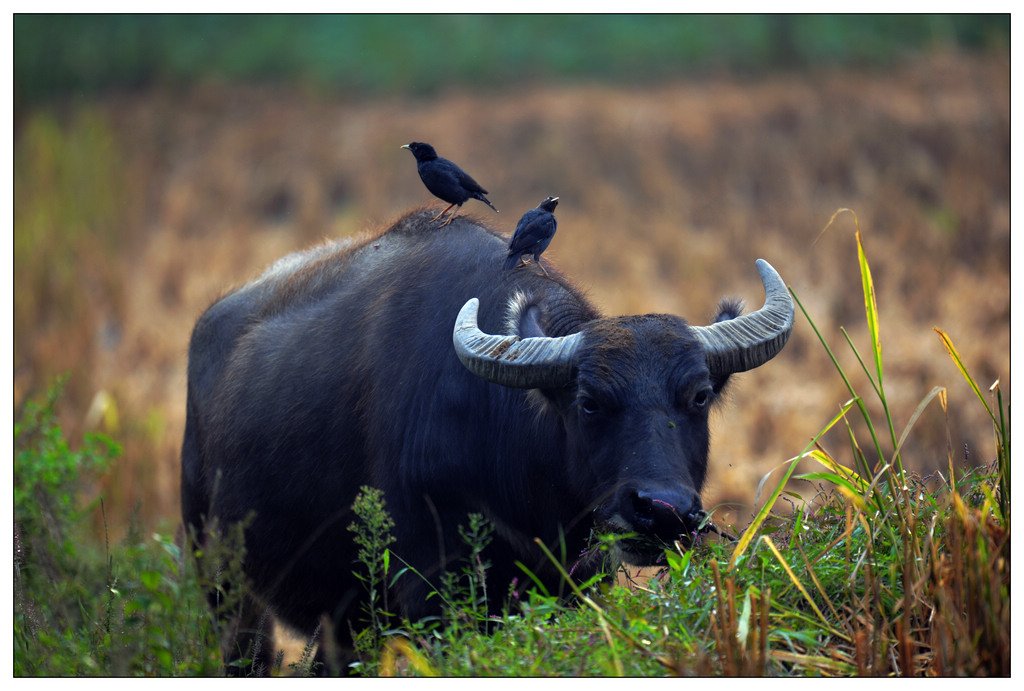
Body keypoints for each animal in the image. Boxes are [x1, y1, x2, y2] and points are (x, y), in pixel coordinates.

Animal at [180, 207, 794, 671]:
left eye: (698, 396)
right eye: (589, 403)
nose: (661, 511)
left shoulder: (577, 582)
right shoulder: (430, 590)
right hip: (225, 587)